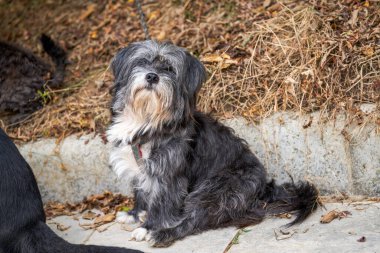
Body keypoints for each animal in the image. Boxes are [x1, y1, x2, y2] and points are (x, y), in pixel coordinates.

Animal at [108, 40, 320, 246]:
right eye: (142, 61)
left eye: (169, 69)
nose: (152, 77)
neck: (147, 119)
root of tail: (262, 189)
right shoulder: (140, 169)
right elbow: (140, 192)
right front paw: (134, 213)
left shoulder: (168, 176)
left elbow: (161, 204)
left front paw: (148, 227)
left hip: (214, 190)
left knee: (194, 221)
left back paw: (162, 235)